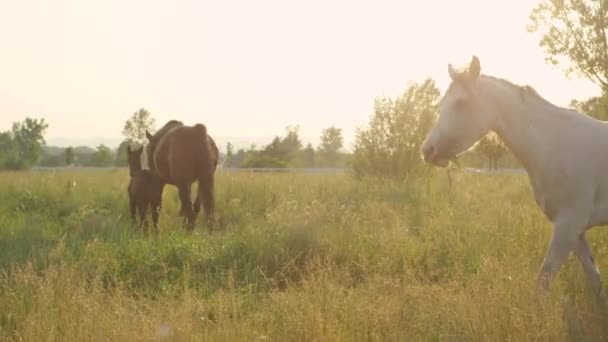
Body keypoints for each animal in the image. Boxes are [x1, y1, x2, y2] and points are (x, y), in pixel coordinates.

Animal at [422, 54, 608, 296]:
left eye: (461, 103)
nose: (427, 150)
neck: (557, 145)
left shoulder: (568, 225)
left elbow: (543, 283)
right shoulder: (575, 232)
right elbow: (594, 278)